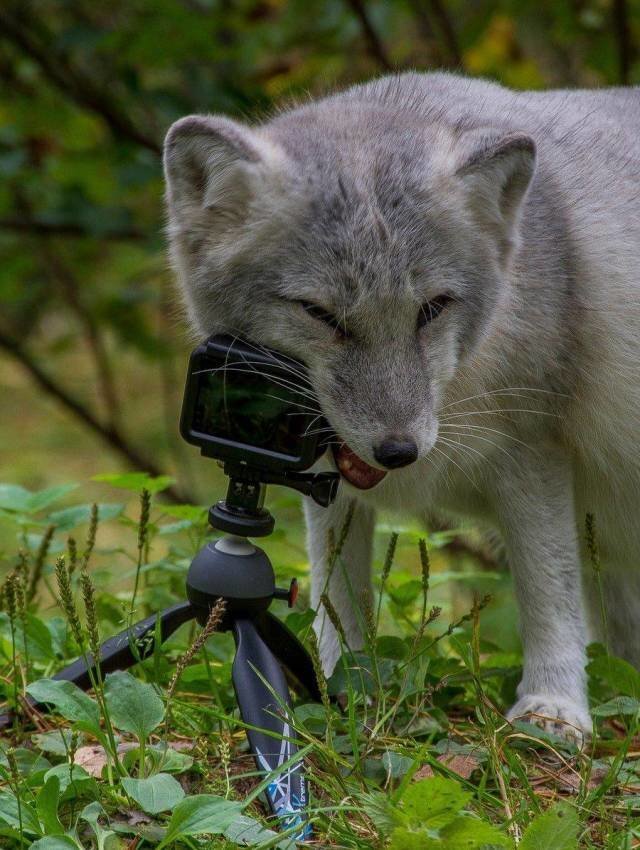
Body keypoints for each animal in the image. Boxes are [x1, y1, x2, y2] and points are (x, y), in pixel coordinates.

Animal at [164, 73, 640, 736]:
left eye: (433, 309)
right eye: (320, 314)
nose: (398, 451)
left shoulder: (535, 452)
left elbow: (548, 592)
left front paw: (555, 708)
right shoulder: (325, 477)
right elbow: (336, 598)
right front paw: (340, 691)